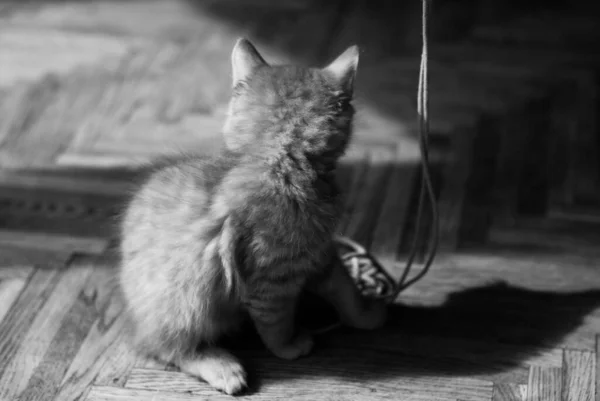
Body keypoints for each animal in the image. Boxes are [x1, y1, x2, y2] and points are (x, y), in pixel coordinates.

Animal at [119, 39, 386, 396]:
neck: (279, 163)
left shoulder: (320, 256)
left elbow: (347, 292)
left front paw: (369, 316)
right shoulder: (271, 284)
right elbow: (277, 326)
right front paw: (290, 347)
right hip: (184, 304)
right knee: (170, 349)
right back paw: (223, 367)